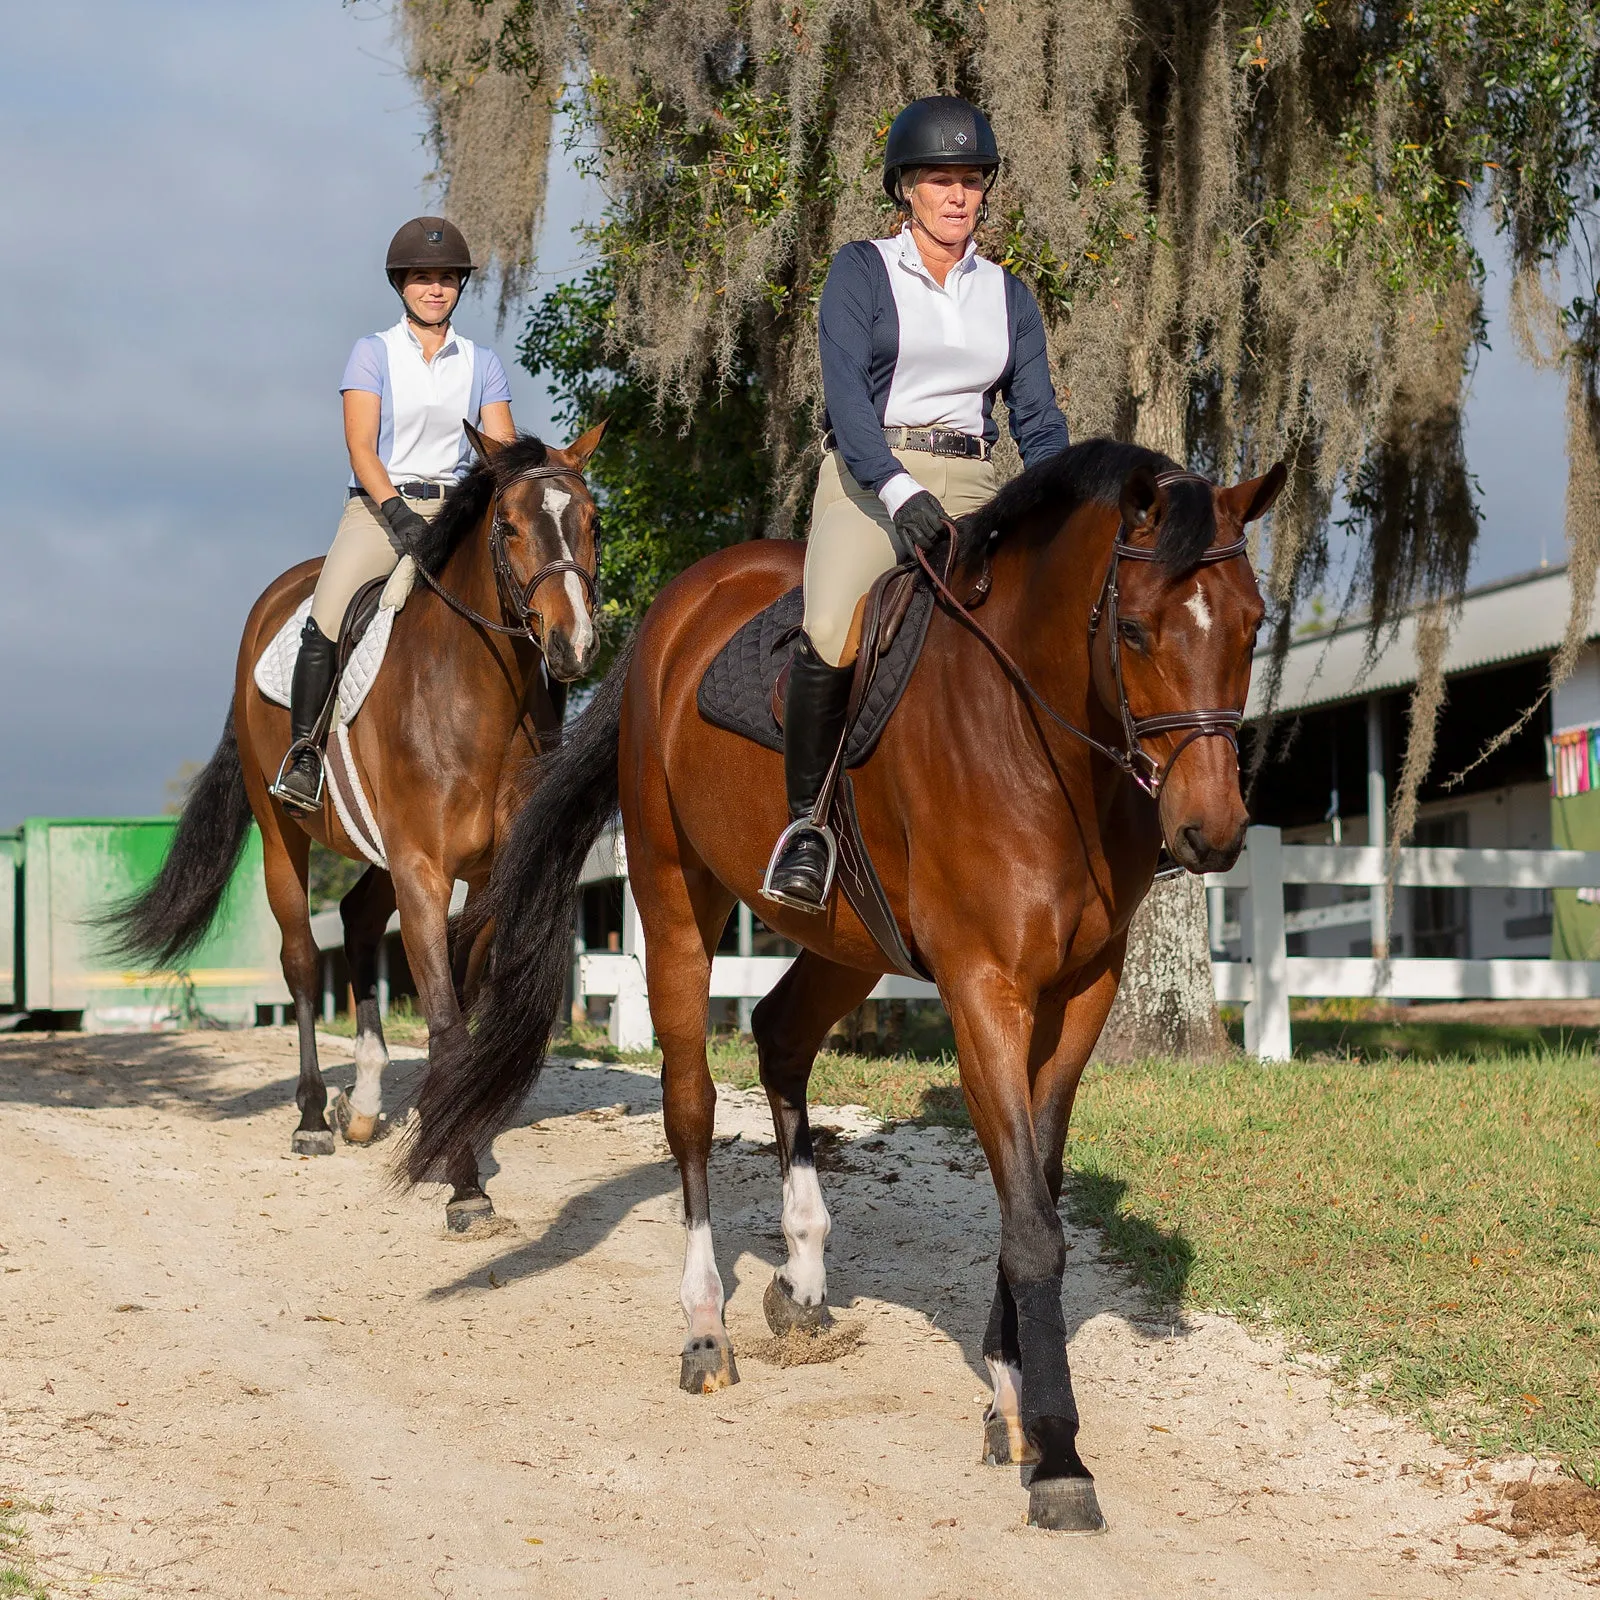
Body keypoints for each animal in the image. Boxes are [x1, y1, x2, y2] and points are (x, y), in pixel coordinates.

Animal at [108, 425, 604, 1222]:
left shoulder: (485, 875)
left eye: (592, 523)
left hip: (375, 852)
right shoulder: (423, 870)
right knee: (305, 959)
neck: (476, 695)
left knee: (359, 922)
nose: (572, 645)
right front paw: (464, 1183)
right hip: (284, 835)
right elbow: (445, 1021)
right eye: (508, 527)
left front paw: (444, 1129)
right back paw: (314, 1116)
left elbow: (458, 1002)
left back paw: (364, 1106)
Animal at [406, 435, 1280, 1523]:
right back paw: (706, 1327)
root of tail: (677, 607)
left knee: (781, 1036)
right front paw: (1060, 1456)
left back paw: (803, 1278)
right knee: (690, 1105)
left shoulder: (1082, 993)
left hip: (845, 942)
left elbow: (1033, 1188)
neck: (1032, 739)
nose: (1211, 833)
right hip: (674, 893)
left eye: (1253, 624)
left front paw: (1010, 1397)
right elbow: (1033, 1223)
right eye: (1133, 626)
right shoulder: (983, 988)